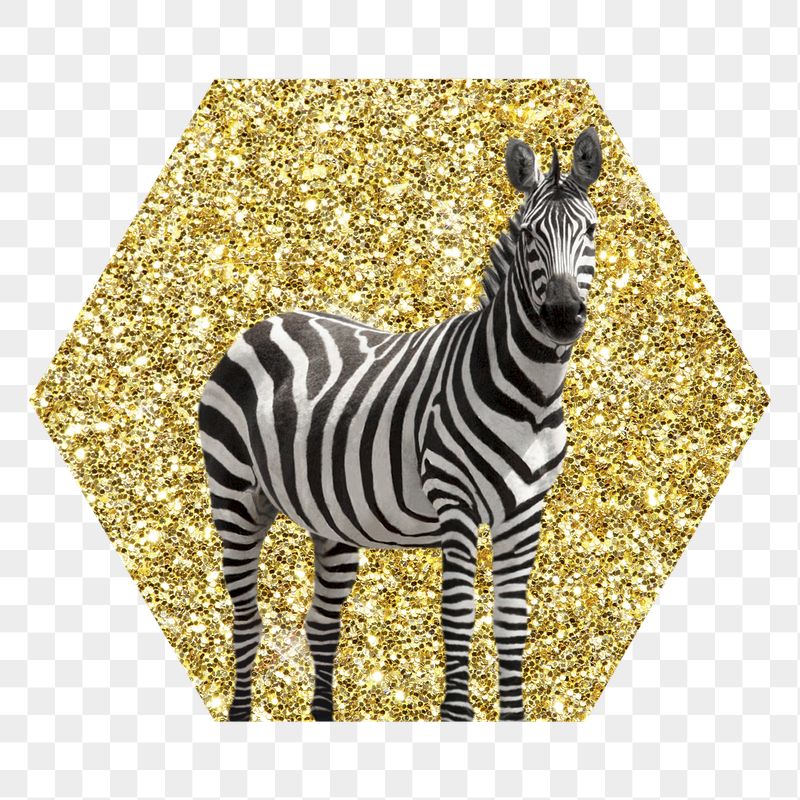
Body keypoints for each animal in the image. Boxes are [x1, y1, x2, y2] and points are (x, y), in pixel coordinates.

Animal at [197, 126, 602, 721]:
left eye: (590, 230)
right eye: (530, 234)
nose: (561, 315)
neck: (530, 394)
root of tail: (266, 322)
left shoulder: (525, 513)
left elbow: (511, 626)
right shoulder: (455, 503)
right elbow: (458, 620)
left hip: (331, 518)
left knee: (321, 626)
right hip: (235, 496)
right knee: (248, 623)